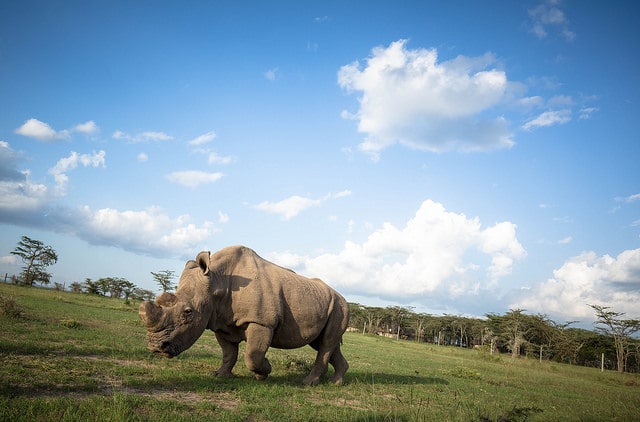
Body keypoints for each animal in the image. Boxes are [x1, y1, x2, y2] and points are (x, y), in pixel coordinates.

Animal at [139, 244, 350, 386]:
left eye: (188, 312)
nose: (155, 347)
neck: (217, 282)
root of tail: (344, 298)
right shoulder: (220, 322)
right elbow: (228, 353)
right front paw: (220, 375)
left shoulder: (261, 322)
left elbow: (252, 355)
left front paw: (263, 372)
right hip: (328, 304)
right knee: (322, 343)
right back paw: (336, 382)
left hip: (340, 307)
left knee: (325, 343)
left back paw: (309, 383)